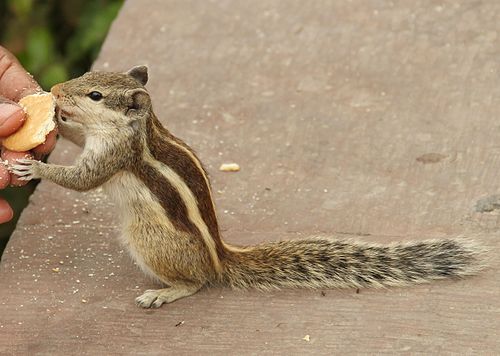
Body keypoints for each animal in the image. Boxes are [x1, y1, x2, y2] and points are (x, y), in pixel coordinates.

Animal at [11, 67, 486, 308]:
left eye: (94, 95)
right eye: (87, 73)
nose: (56, 89)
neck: (138, 127)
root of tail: (220, 258)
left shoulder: (114, 154)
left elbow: (83, 179)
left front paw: (35, 168)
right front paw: (52, 121)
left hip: (146, 240)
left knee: (196, 283)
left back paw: (165, 292)